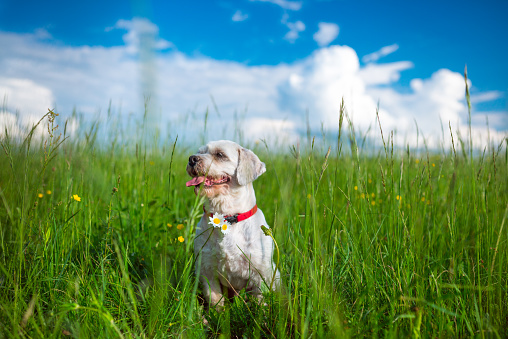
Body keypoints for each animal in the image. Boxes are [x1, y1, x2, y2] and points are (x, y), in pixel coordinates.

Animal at [187, 139, 280, 310]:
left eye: (220, 154)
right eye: (200, 151)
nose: (192, 159)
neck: (226, 217)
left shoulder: (260, 273)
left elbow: (260, 301)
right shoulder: (207, 270)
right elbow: (215, 300)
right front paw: (217, 315)